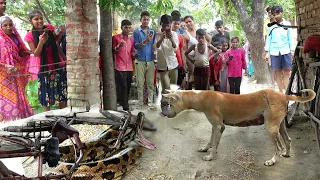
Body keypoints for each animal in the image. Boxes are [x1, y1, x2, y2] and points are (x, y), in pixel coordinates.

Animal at [162, 88, 316, 166]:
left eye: (170, 104)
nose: (164, 114)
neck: (201, 97)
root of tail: (283, 95)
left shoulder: (219, 127)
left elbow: (215, 144)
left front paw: (210, 156)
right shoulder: (214, 126)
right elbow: (210, 141)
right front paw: (205, 148)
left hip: (270, 128)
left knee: (279, 146)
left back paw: (272, 160)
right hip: (280, 125)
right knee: (288, 140)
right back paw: (287, 154)